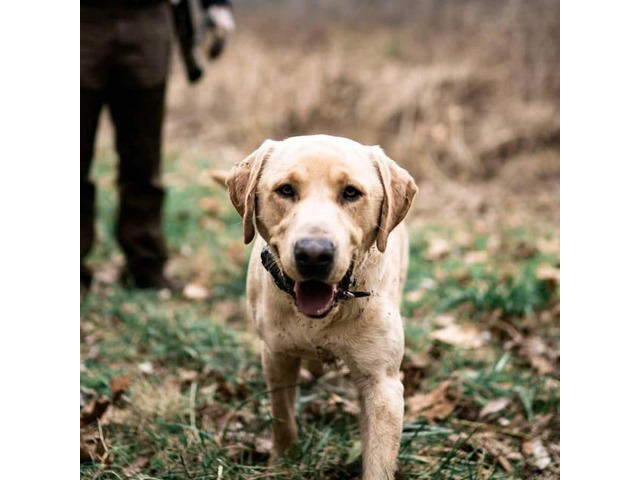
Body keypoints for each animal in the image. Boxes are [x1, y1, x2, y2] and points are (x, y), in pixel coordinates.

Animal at [222, 133, 418, 478]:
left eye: (351, 192)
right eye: (286, 190)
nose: (314, 254)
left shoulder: (382, 384)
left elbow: (378, 463)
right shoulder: (277, 357)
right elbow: (283, 418)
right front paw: (282, 463)